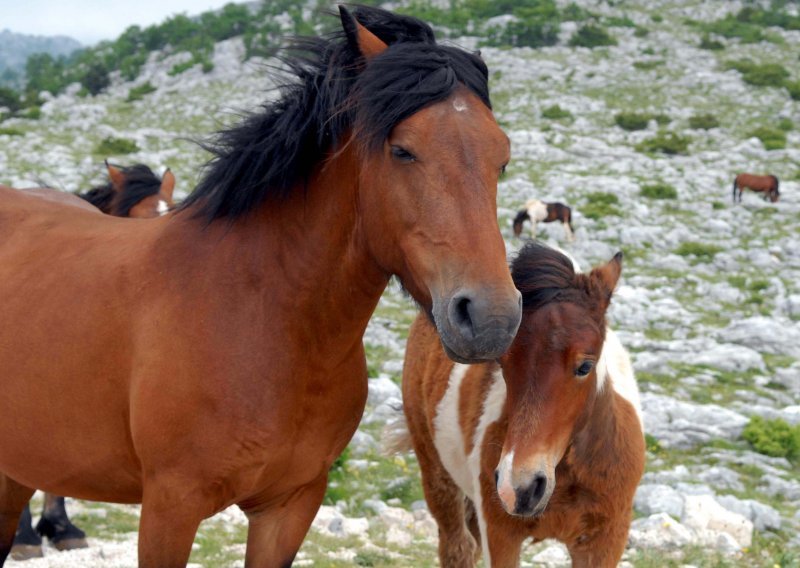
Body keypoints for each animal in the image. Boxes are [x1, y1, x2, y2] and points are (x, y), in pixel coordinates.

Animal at [396, 243, 648, 568]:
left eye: (585, 366)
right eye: (502, 363)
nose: (521, 488)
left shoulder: (605, 540)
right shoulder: (500, 533)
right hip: (438, 476)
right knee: (457, 547)